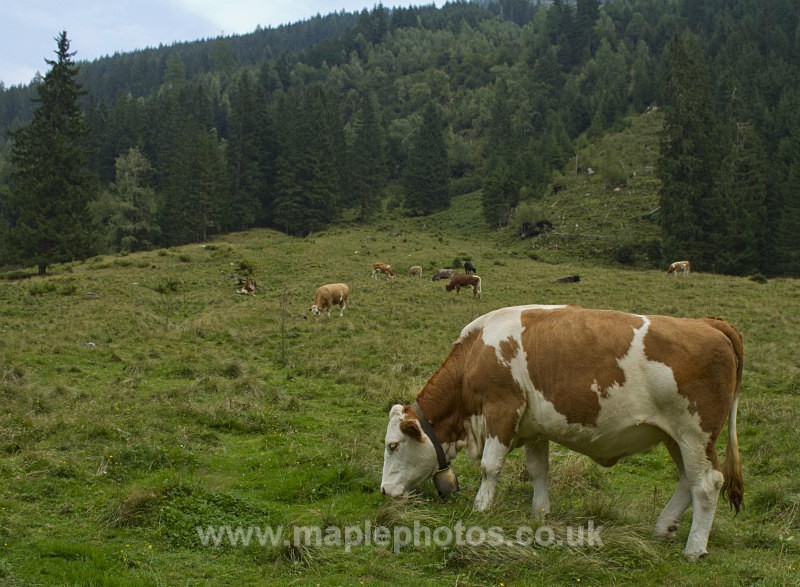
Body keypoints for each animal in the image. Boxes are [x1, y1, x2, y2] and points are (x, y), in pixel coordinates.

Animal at [381, 305, 743, 561]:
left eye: (393, 445)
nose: (383, 490)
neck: (476, 353)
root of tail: (709, 323)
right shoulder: (534, 426)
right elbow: (538, 470)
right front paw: (540, 513)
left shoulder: (501, 409)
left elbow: (489, 466)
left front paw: (481, 507)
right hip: (675, 437)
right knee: (687, 481)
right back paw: (663, 526)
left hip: (695, 434)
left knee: (707, 483)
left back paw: (694, 548)